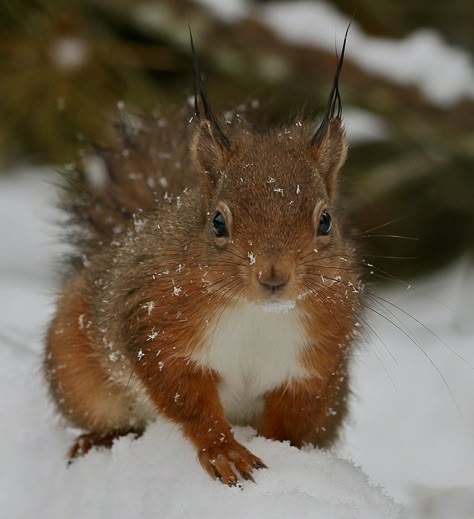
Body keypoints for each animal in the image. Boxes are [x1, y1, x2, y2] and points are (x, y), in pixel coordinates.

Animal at [46, 33, 362, 488]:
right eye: (217, 222)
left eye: (325, 221)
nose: (273, 276)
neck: (257, 313)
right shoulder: (156, 325)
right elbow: (186, 399)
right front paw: (225, 453)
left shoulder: (315, 361)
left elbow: (291, 419)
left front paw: (278, 451)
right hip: (75, 369)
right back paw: (98, 438)